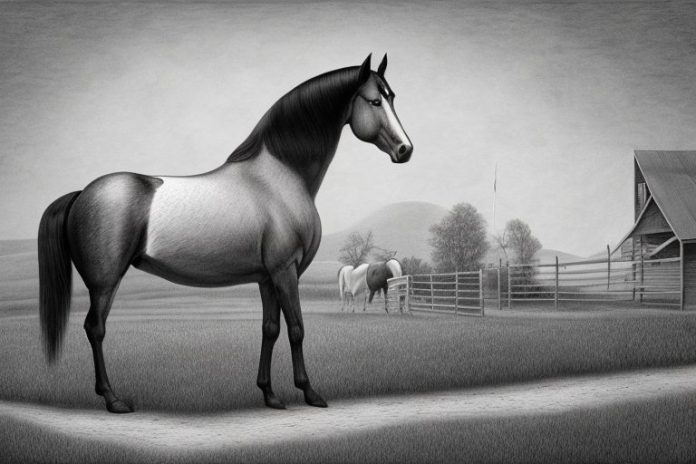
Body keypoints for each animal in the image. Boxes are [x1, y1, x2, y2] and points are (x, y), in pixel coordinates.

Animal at [38, 53, 412, 414]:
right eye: (374, 100)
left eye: (392, 97)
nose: (405, 150)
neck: (279, 178)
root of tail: (81, 194)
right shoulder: (285, 271)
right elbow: (296, 329)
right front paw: (310, 393)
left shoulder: (267, 277)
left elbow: (270, 329)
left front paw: (270, 395)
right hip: (104, 282)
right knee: (95, 329)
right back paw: (113, 400)